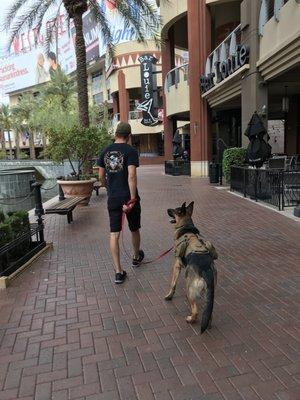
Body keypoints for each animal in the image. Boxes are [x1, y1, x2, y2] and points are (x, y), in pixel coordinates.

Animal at [165, 202, 217, 332]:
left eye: (174, 210)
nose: (167, 209)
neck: (185, 225)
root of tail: (206, 270)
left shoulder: (176, 265)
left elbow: (173, 284)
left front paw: (169, 296)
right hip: (208, 295)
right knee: (208, 313)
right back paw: (207, 325)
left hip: (190, 290)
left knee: (196, 311)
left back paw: (190, 319)